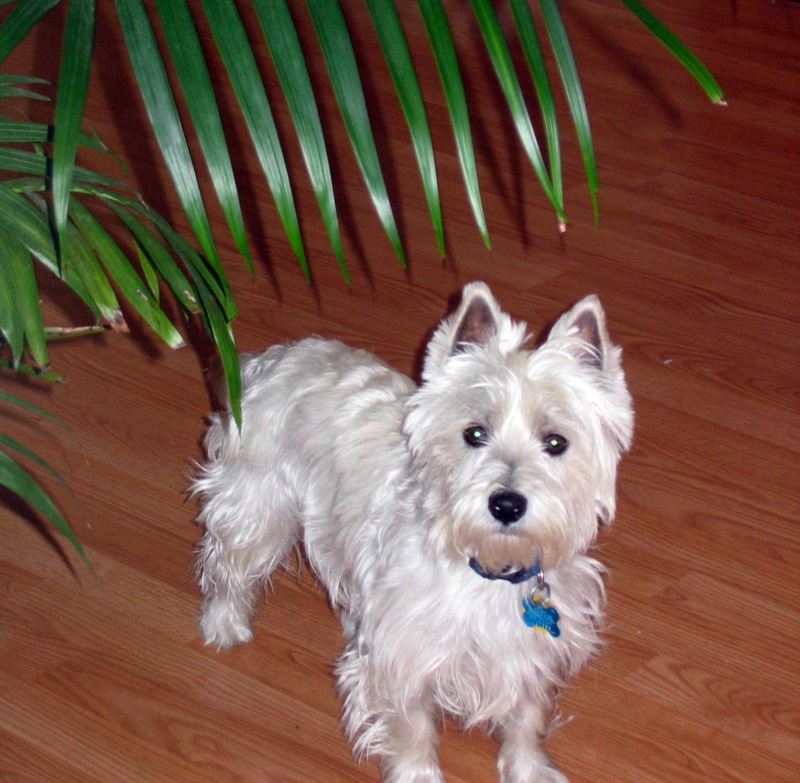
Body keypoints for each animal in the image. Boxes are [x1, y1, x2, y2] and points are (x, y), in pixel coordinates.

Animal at [192, 284, 632, 783]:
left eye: (556, 442)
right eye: (474, 433)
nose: (506, 504)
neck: (486, 566)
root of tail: (267, 359)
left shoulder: (529, 655)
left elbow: (526, 718)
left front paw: (530, 771)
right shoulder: (402, 655)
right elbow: (411, 725)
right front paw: (417, 774)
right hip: (257, 508)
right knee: (227, 565)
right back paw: (224, 624)